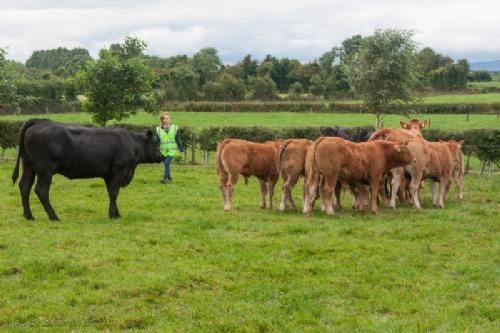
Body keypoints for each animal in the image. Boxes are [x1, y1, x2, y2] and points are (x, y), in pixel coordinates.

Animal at [10, 118, 162, 219]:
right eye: (156, 143)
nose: (161, 156)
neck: (132, 143)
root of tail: (39, 121)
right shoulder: (119, 169)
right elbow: (114, 192)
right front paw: (113, 215)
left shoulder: (109, 174)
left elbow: (111, 193)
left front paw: (115, 213)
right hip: (45, 170)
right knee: (41, 190)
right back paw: (54, 216)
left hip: (29, 166)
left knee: (24, 186)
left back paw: (29, 215)